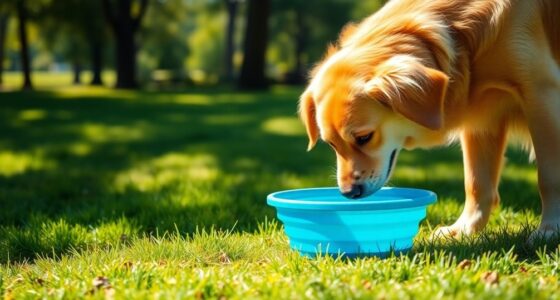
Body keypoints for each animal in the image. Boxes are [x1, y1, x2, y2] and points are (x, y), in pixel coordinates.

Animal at [300, 0, 560, 239]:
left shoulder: (541, 92)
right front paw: (463, 230)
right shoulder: (480, 114)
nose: (348, 193)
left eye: (365, 137)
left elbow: (549, 176)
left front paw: (549, 229)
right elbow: (477, 183)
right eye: (332, 144)